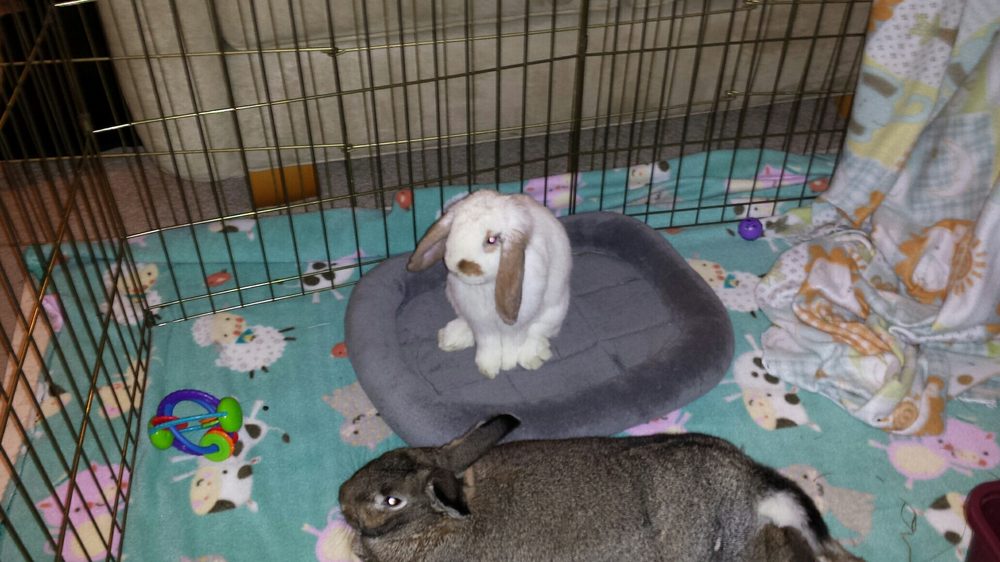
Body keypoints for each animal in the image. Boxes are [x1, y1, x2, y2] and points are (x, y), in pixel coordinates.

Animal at [406, 190, 573, 379]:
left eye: (492, 240)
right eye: (454, 230)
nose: (462, 265)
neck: (485, 286)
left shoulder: (517, 325)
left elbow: (512, 343)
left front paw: (508, 364)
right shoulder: (480, 323)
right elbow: (488, 344)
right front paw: (488, 367)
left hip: (555, 311)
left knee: (538, 332)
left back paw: (532, 358)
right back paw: (449, 338)